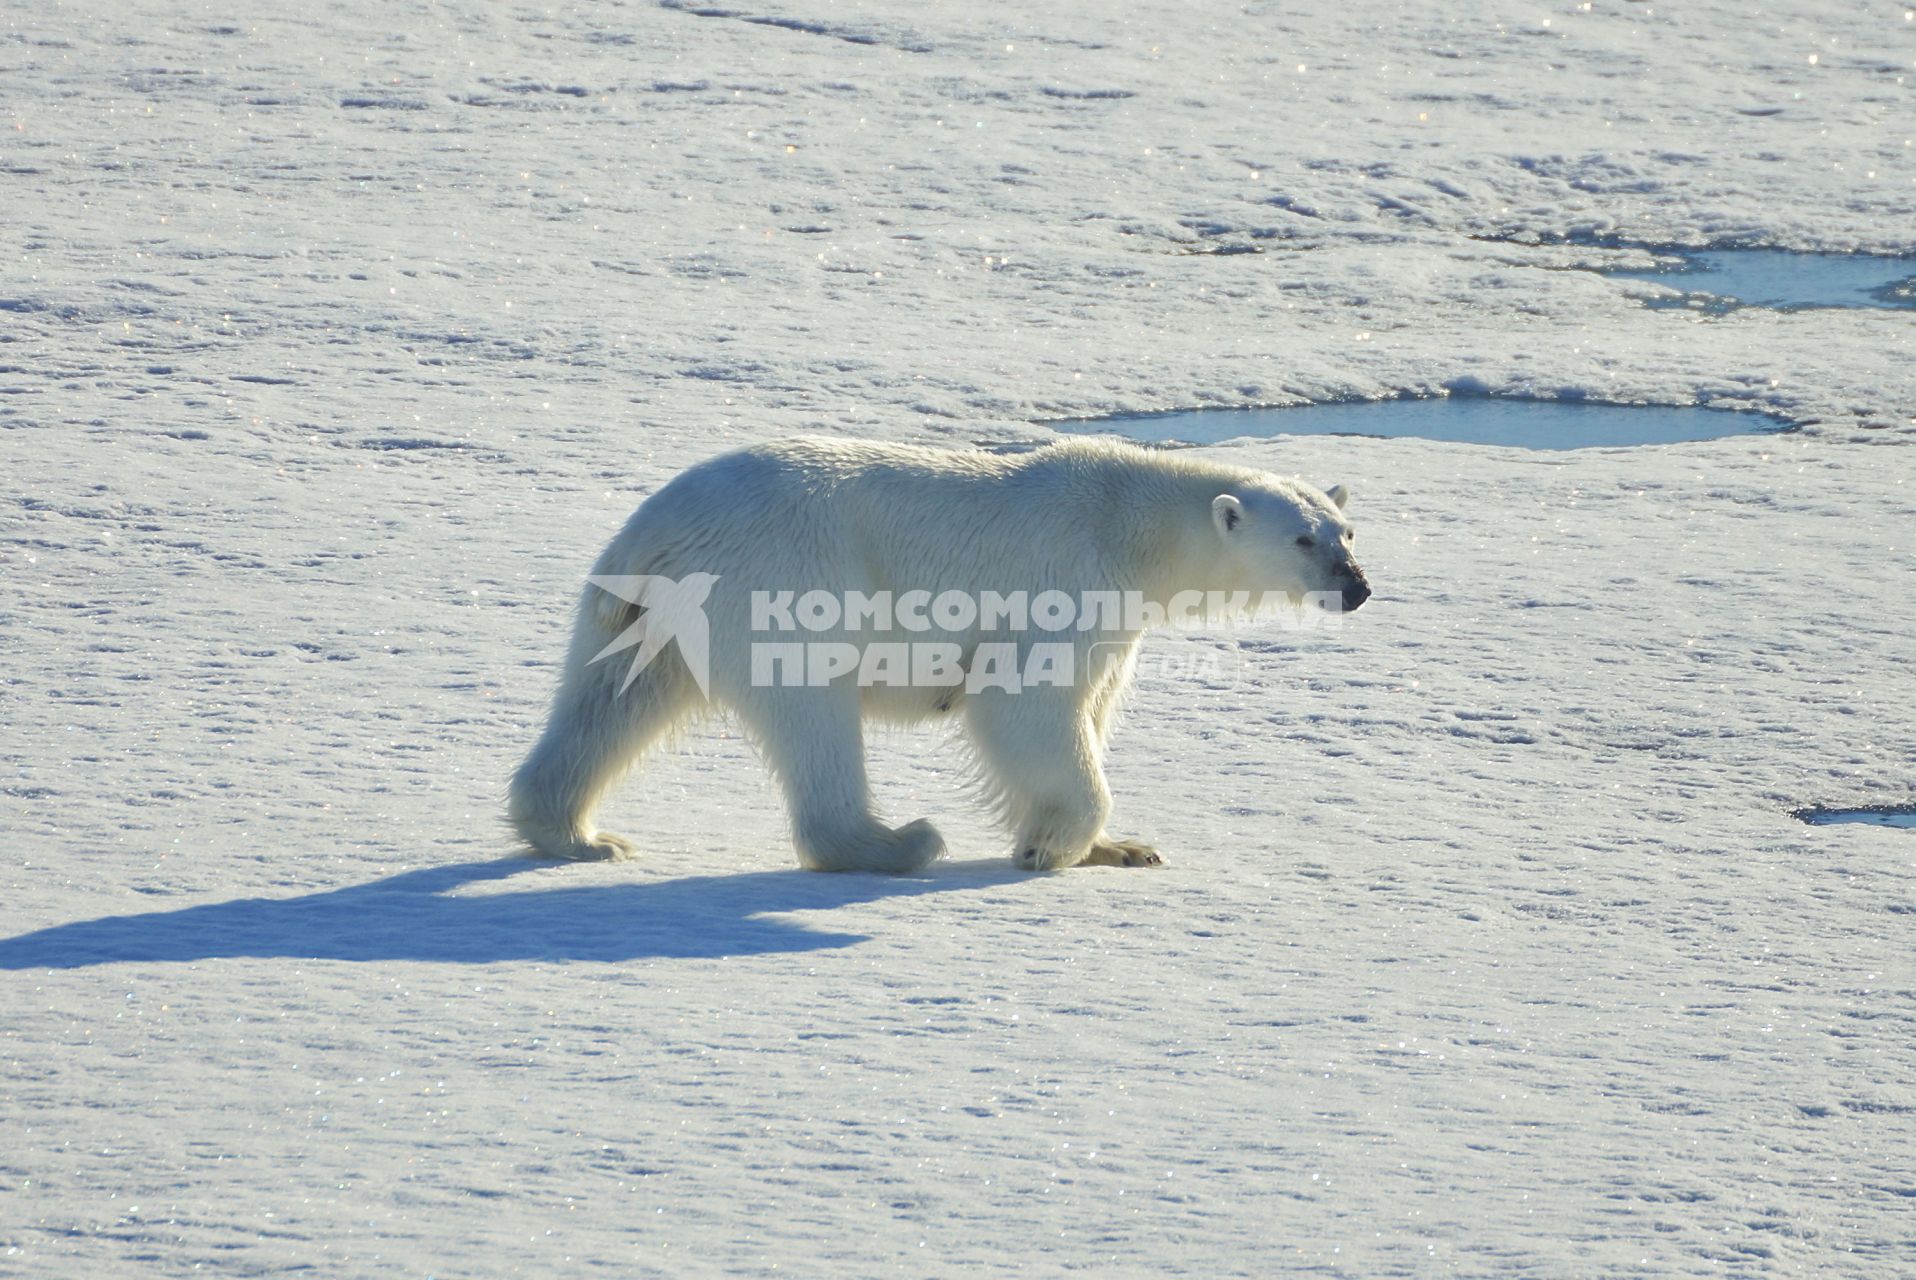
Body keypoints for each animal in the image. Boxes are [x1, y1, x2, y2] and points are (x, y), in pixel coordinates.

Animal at [509, 436, 1364, 869]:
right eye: (1303, 539)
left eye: (1346, 532)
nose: (1355, 586)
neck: (1131, 521)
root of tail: (654, 527)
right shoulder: (1066, 576)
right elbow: (1025, 701)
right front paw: (1055, 845)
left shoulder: (1119, 614)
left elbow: (1090, 702)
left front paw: (1118, 848)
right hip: (783, 578)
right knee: (812, 711)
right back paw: (897, 842)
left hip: (643, 610)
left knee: (612, 699)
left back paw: (579, 835)